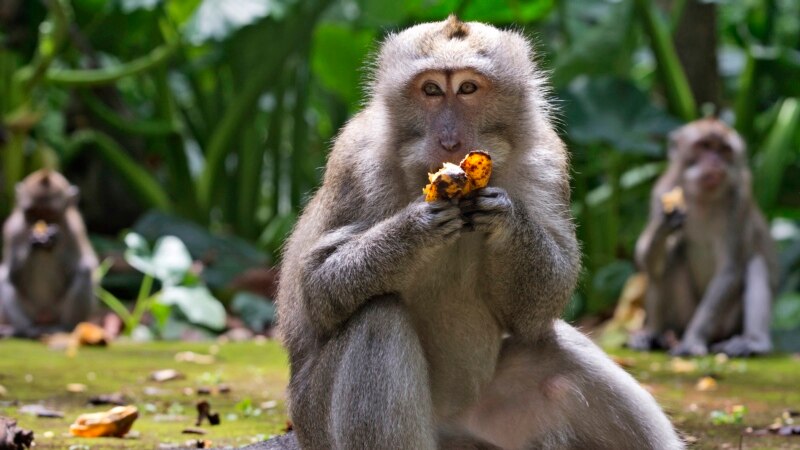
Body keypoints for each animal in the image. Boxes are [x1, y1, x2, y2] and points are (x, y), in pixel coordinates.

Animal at [0, 169, 98, 338]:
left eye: (50, 214)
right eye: (32, 213)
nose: (40, 223)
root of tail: (44, 317)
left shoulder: (75, 229)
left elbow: (81, 266)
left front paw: (52, 240)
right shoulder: (12, 229)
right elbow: (12, 275)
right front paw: (33, 243)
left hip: (57, 310)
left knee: (84, 271)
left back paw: (64, 327)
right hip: (31, 310)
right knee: (3, 276)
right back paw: (25, 330)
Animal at [277, 16, 684, 450]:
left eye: (468, 88)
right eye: (431, 90)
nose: (450, 140)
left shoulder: (547, 160)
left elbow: (537, 308)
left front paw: (506, 218)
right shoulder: (356, 160)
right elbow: (317, 288)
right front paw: (414, 230)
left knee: (554, 347)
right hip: (318, 420)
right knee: (377, 318)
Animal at [629, 118, 778, 357]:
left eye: (724, 150)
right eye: (704, 146)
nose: (715, 162)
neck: (702, 198)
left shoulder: (740, 200)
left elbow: (729, 269)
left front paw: (692, 340)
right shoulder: (661, 190)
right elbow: (645, 259)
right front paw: (665, 222)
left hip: (726, 325)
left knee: (756, 263)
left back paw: (754, 341)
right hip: (682, 316)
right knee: (668, 260)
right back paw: (654, 334)